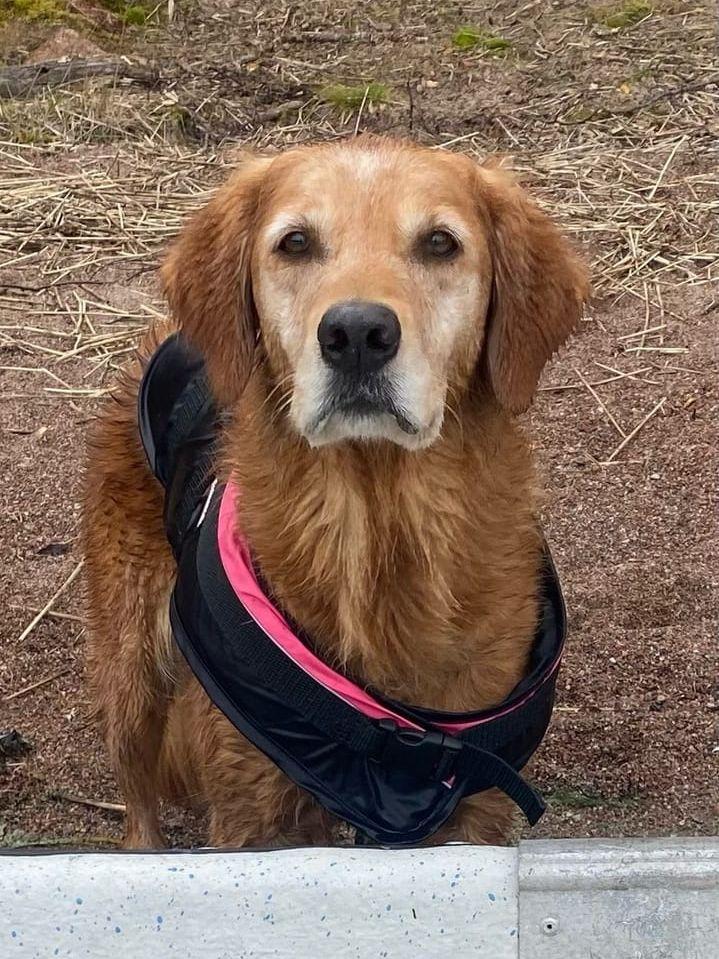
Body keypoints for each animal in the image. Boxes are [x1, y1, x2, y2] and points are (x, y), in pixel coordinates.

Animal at [83, 133, 592, 848]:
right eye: (296, 242)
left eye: (440, 243)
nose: (356, 334)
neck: (374, 521)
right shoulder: (253, 810)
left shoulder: (471, 811)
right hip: (130, 662)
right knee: (139, 805)